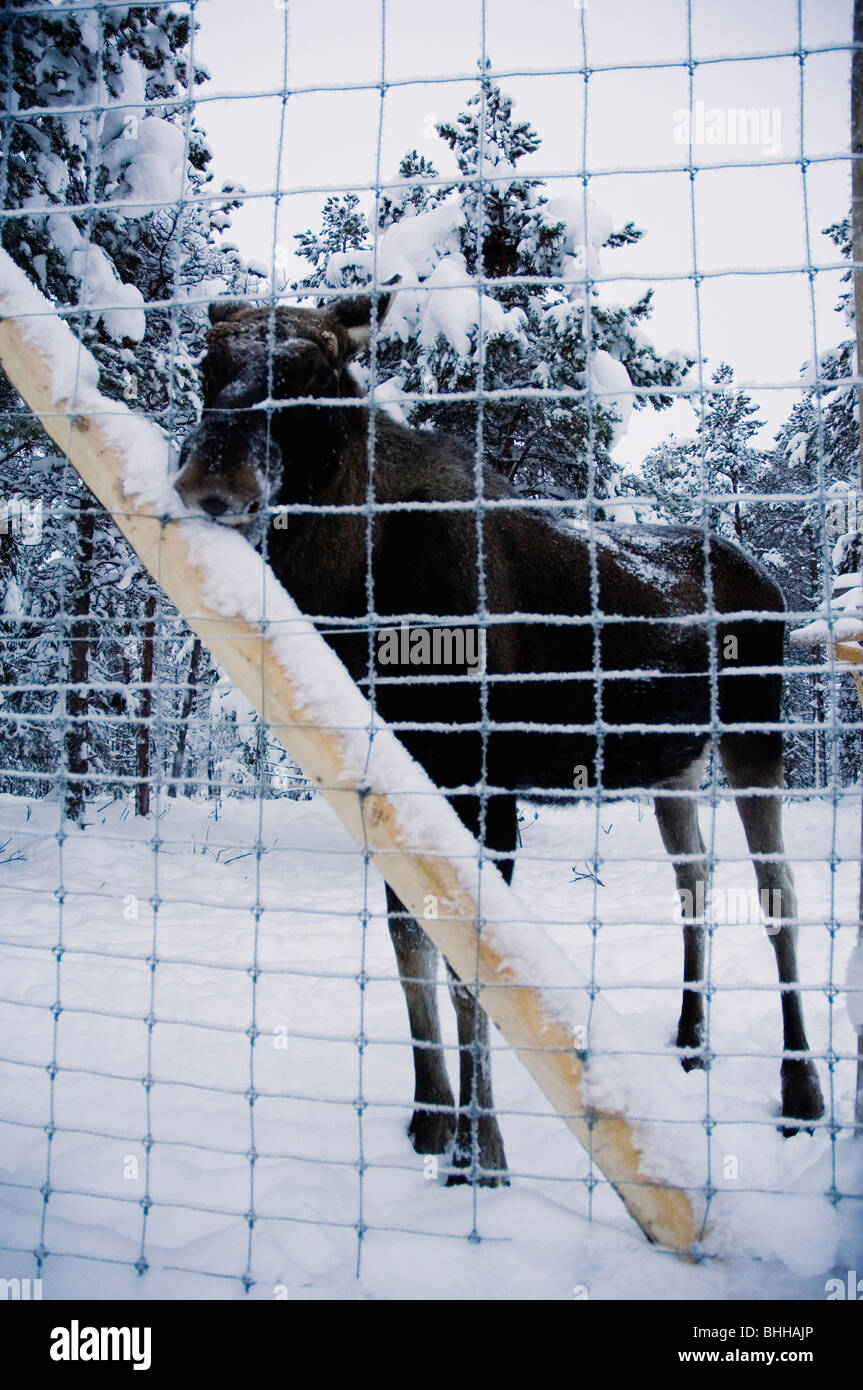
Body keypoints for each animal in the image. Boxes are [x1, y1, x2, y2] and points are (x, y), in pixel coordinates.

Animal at [175, 289, 825, 1185]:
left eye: (315, 371)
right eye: (205, 362)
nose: (213, 476)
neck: (349, 607)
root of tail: (768, 579)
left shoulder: (483, 786)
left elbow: (468, 969)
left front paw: (480, 1152)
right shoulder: (395, 789)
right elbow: (408, 950)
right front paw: (429, 1118)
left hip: (755, 730)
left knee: (778, 892)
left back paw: (801, 1092)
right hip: (673, 761)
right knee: (694, 880)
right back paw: (691, 1038)